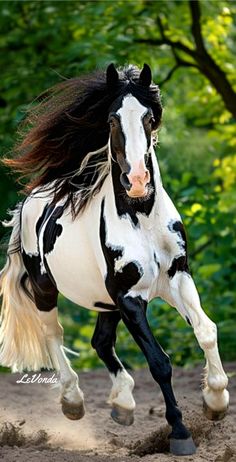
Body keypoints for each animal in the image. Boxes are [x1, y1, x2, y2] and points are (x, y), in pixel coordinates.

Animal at [0, 63, 229, 456]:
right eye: (111, 120)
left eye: (149, 118)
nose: (136, 180)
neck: (143, 219)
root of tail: (28, 203)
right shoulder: (131, 298)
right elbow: (159, 362)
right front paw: (180, 434)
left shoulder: (177, 278)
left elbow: (206, 330)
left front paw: (216, 401)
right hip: (48, 290)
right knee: (53, 334)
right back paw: (73, 401)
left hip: (105, 300)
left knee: (101, 341)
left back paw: (122, 404)